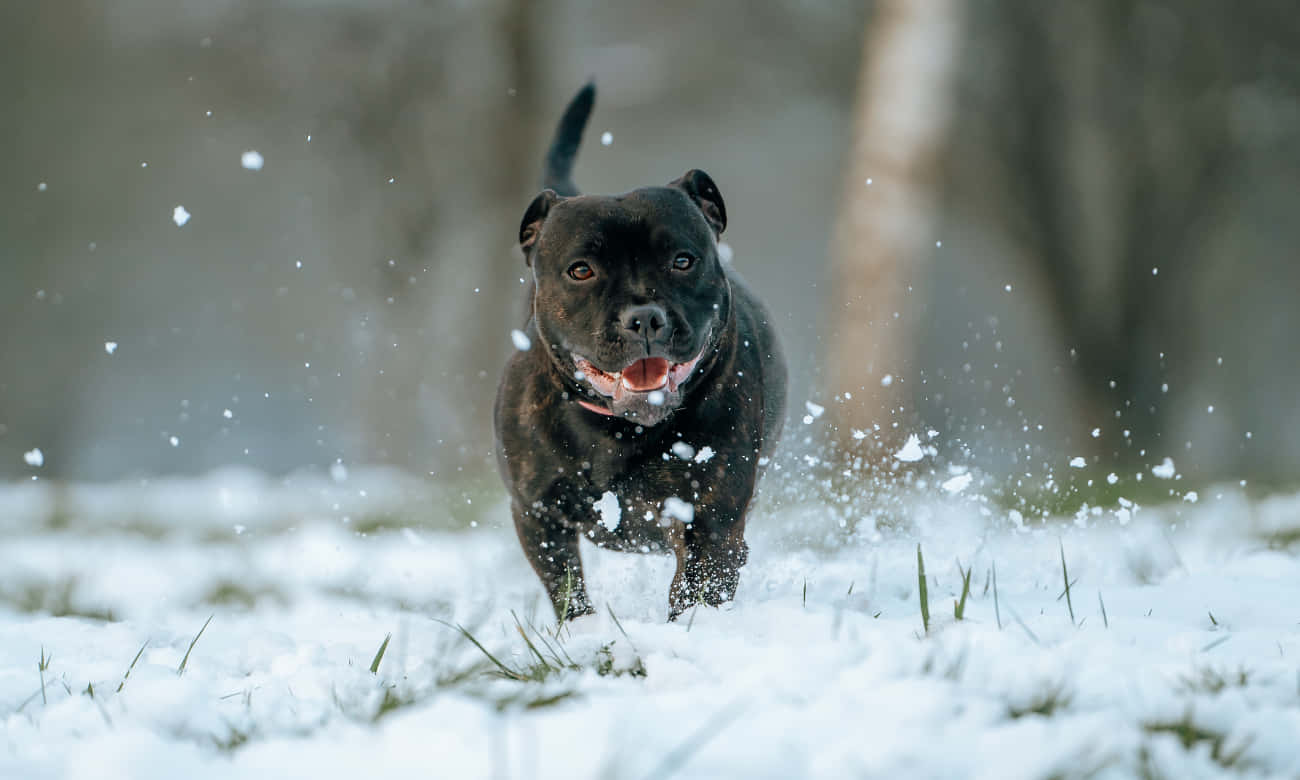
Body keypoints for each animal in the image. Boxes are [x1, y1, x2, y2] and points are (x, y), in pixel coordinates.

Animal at [493, 85, 780, 621]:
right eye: (581, 270)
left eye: (683, 261)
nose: (644, 318)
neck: (618, 430)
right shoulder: (538, 515)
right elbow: (567, 588)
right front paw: (579, 630)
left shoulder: (711, 522)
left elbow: (697, 590)